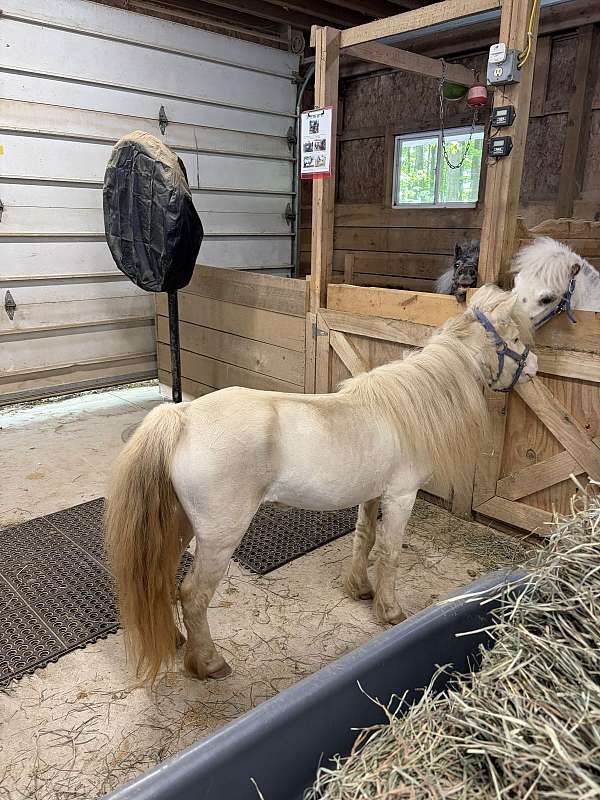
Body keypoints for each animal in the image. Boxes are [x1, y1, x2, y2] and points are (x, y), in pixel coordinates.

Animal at [105, 286, 537, 684]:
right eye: (515, 339)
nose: (533, 365)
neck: (403, 407)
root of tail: (182, 417)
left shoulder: (372, 494)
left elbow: (364, 538)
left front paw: (360, 589)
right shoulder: (401, 496)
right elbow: (390, 552)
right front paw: (390, 611)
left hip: (181, 526)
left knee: (163, 579)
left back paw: (177, 641)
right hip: (218, 537)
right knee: (193, 595)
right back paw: (209, 663)